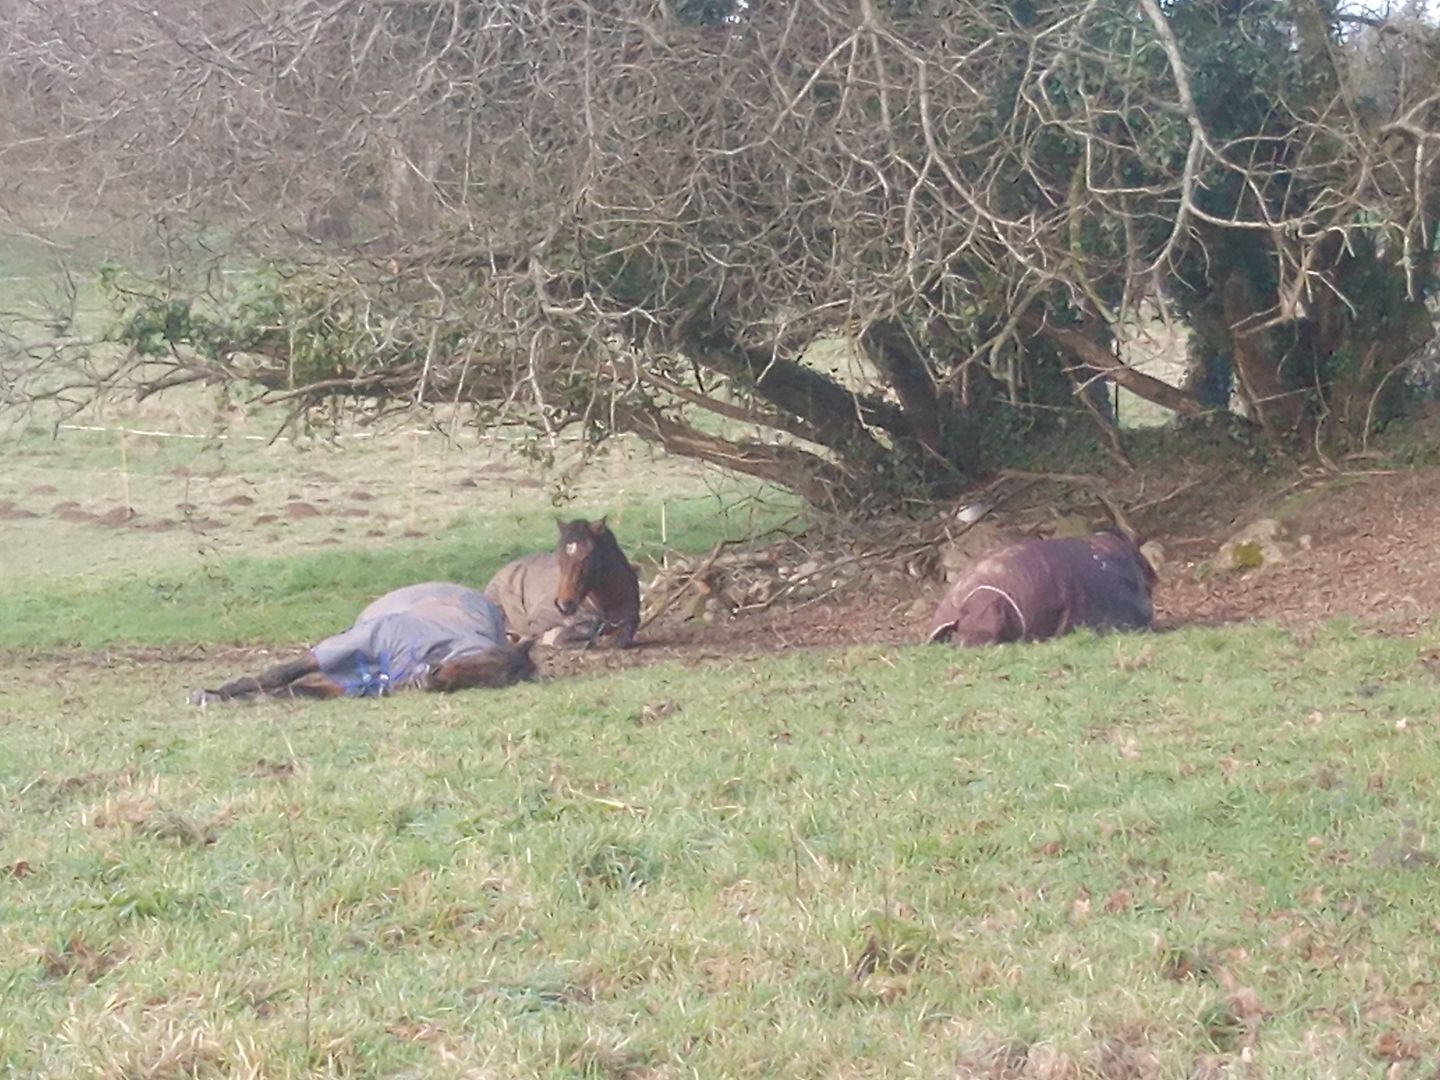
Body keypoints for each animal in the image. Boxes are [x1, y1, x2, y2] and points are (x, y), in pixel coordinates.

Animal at [188, 578, 532, 705]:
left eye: (479, 681)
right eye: (479, 656)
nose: (431, 678)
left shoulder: (348, 684)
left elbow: (294, 690)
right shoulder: (352, 643)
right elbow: (279, 674)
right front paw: (222, 692)